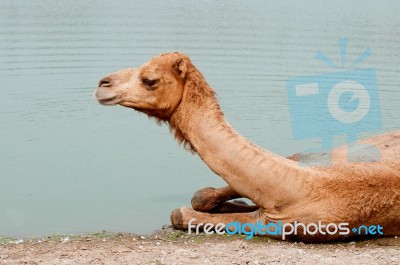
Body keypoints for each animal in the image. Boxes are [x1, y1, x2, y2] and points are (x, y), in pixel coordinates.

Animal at [94, 51, 400, 241]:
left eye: (150, 80)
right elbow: (202, 195)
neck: (304, 186)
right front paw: (232, 202)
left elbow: (181, 214)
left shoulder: (279, 225)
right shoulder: (307, 157)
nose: (102, 83)